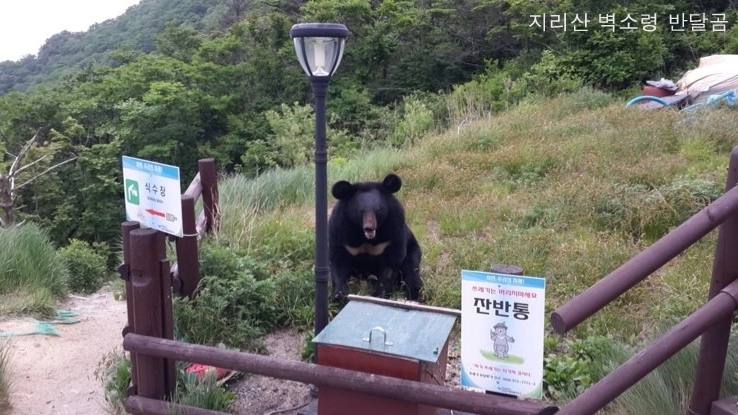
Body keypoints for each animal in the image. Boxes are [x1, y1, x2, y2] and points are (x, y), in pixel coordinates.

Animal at [326, 173, 422, 302]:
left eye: (378, 210)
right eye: (361, 211)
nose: (369, 228)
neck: (365, 237)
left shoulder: (393, 231)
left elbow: (390, 265)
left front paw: (379, 295)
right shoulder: (340, 231)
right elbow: (338, 260)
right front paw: (339, 295)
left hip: (412, 250)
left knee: (412, 274)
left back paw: (414, 297)